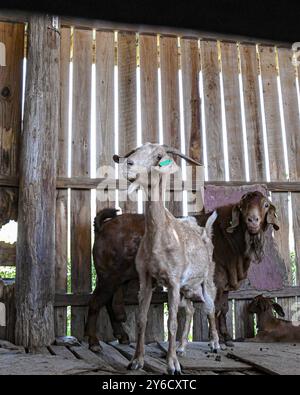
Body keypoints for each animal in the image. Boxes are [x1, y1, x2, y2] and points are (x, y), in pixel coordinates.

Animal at [84, 190, 278, 352]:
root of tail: (104, 226)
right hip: (108, 276)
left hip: (118, 277)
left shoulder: (224, 284)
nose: (253, 221)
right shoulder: (215, 280)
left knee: (109, 303)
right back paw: (93, 343)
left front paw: (227, 338)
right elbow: (214, 308)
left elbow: (223, 308)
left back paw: (122, 337)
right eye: (243, 207)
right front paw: (214, 340)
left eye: (265, 205)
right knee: (95, 302)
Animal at [113, 144, 219, 376]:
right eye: (136, 150)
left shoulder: (173, 281)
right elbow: (141, 320)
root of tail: (205, 233)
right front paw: (136, 361)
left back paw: (215, 344)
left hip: (206, 279)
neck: (159, 238)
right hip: (187, 288)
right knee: (189, 310)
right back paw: (181, 347)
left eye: (159, 156)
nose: (128, 164)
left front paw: (172, 365)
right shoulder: (146, 280)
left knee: (210, 307)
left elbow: (171, 322)